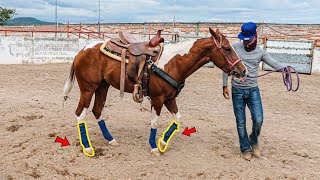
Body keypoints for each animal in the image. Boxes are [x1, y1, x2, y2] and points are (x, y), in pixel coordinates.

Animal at [63, 27, 248, 156]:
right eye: (227, 48)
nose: (243, 70)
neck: (174, 63)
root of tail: (82, 50)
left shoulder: (170, 98)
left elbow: (178, 118)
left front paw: (163, 143)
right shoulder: (158, 98)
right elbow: (154, 123)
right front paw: (154, 147)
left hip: (103, 86)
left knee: (97, 110)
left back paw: (111, 140)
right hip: (88, 89)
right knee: (80, 113)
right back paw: (87, 147)